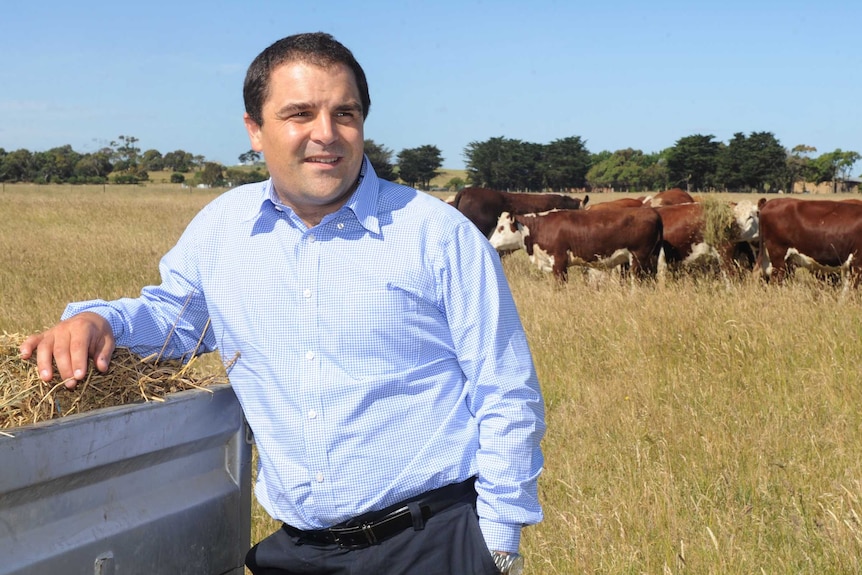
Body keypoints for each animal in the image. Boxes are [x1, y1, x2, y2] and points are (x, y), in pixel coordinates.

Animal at [490, 208, 664, 282]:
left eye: (501, 228)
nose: (490, 243)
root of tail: (652, 212)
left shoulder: (559, 262)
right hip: (650, 258)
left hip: (638, 259)